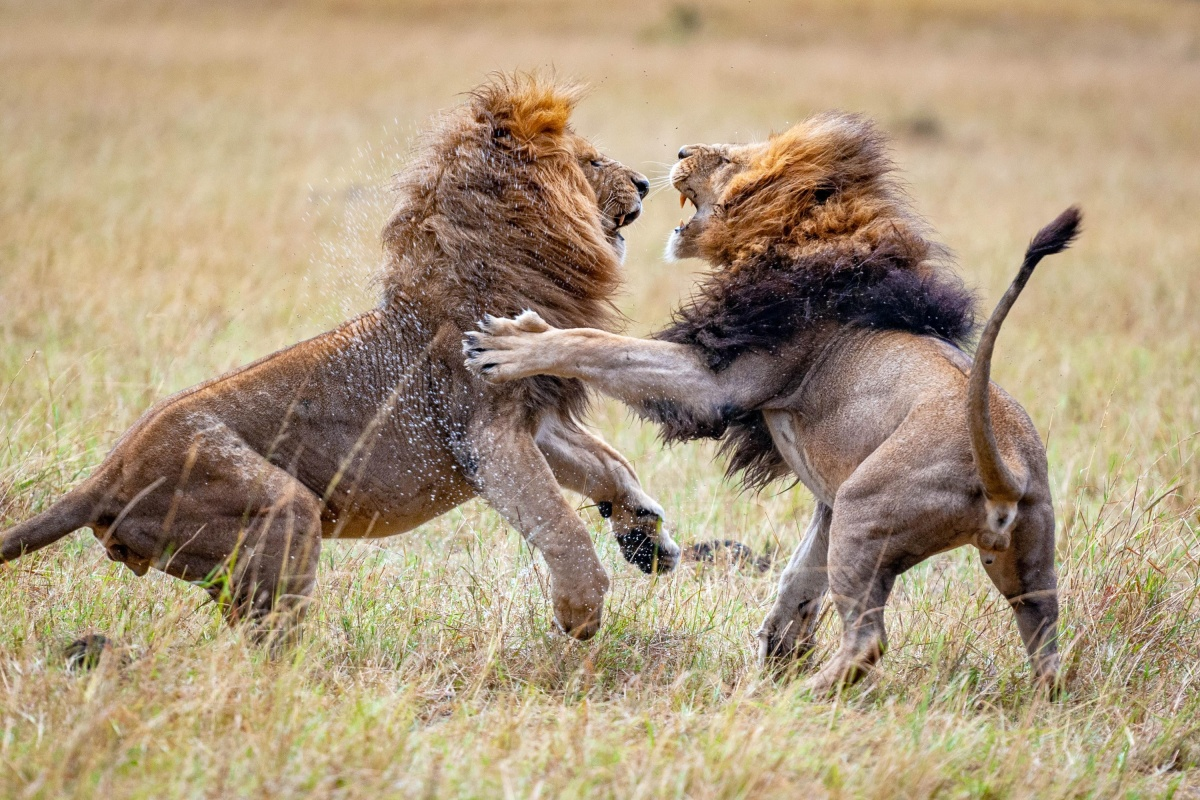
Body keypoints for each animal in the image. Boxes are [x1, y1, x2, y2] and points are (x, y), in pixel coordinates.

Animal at [0, 71, 681, 642]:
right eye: (593, 161)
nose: (646, 184)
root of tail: (104, 477)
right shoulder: (483, 433)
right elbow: (558, 521)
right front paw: (581, 611)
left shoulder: (537, 419)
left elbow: (610, 465)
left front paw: (647, 534)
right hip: (282, 508)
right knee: (261, 643)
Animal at [463, 112, 1084, 695]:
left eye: (729, 161)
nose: (680, 152)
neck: (804, 243)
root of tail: (1005, 469)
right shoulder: (828, 495)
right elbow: (800, 576)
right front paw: (778, 645)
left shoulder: (720, 382)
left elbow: (599, 345)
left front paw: (512, 343)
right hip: (1023, 559)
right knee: (1047, 645)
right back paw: (1039, 702)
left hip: (866, 511)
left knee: (868, 640)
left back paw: (808, 695)